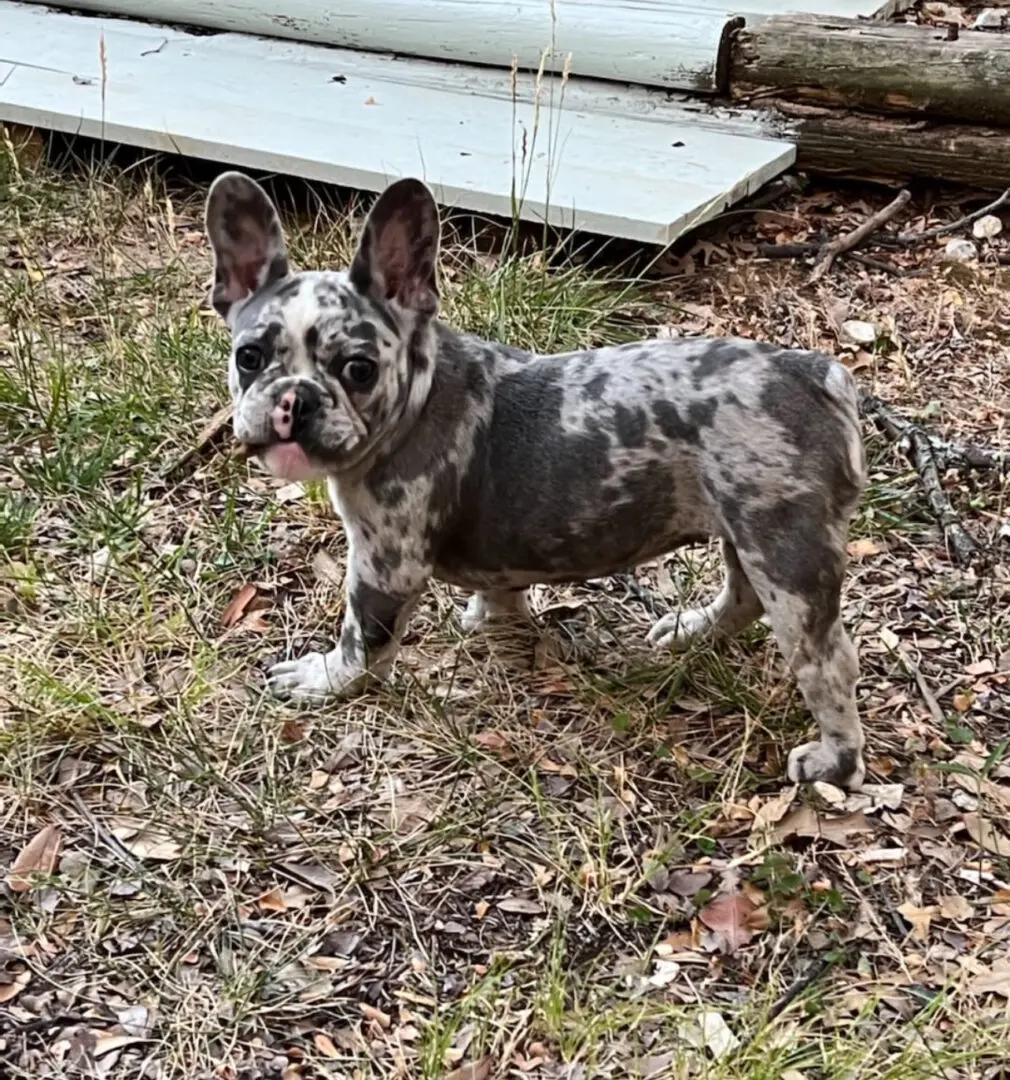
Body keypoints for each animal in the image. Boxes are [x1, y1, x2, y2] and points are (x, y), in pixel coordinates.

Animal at [203, 172, 868, 790]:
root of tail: (811, 371)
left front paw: (328, 679)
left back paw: (833, 761)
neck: (416, 396)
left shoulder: (386, 563)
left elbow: (363, 635)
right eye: (248, 358)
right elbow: (501, 586)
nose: (295, 399)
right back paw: (691, 629)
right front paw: (491, 617)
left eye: (358, 369)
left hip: (787, 556)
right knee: (744, 594)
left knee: (827, 661)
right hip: (746, 526)